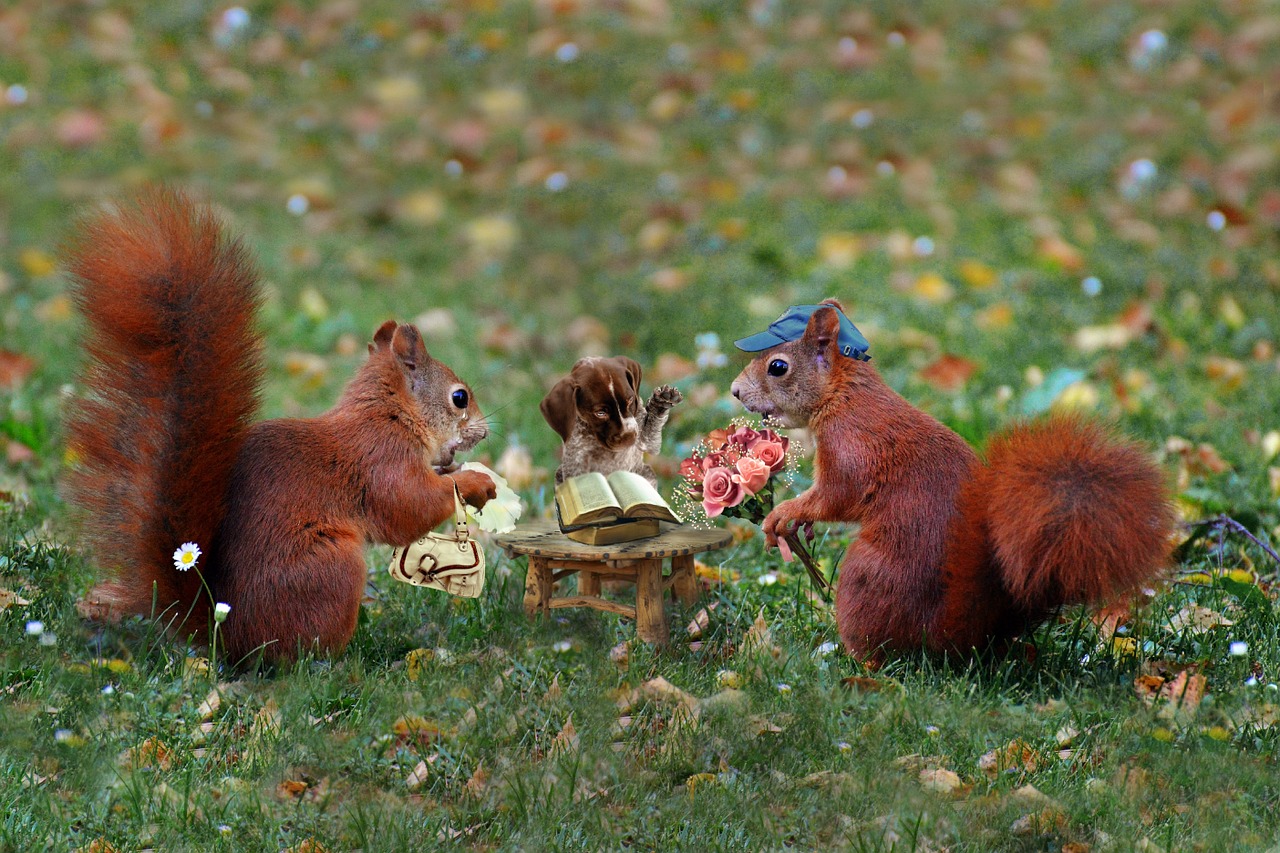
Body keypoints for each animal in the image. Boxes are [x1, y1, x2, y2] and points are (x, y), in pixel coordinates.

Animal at [64, 189, 496, 660]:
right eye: (459, 398)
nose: (484, 430)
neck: (391, 415)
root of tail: (226, 636)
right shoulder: (381, 459)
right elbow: (410, 506)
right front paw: (474, 481)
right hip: (332, 567)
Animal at [540, 353, 680, 484]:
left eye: (630, 401)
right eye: (600, 413)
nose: (629, 436)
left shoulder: (645, 441)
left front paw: (661, 402)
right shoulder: (576, 461)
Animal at [732, 298, 1172, 666]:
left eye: (777, 367)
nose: (735, 391)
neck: (843, 397)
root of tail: (953, 636)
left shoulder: (850, 449)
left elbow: (836, 497)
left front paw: (782, 513)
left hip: (865, 578)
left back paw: (853, 659)